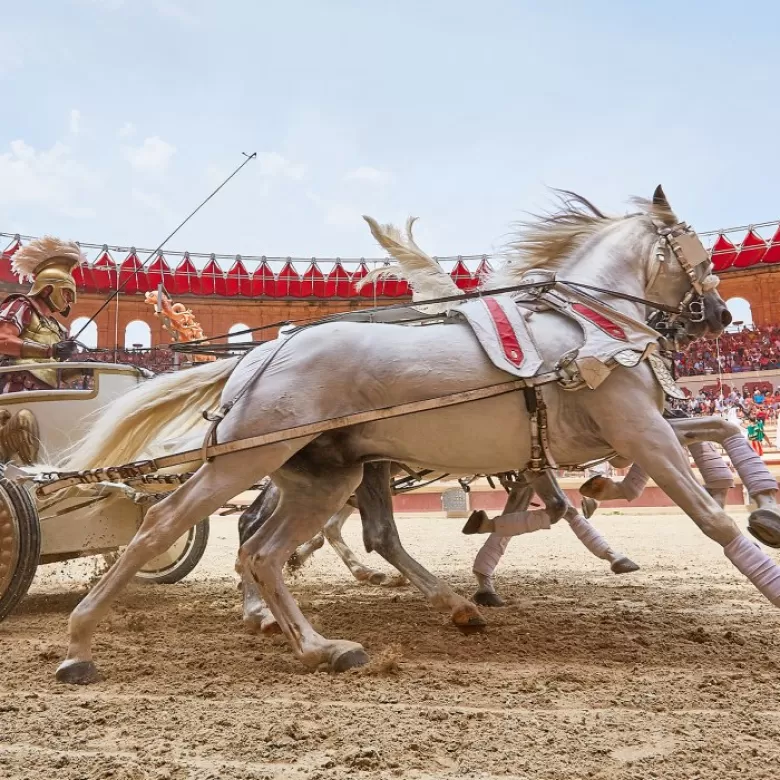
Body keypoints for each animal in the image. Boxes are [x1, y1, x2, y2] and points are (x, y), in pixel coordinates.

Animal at [56, 184, 780, 684]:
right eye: (700, 252)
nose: (718, 315)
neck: (586, 326)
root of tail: (260, 355)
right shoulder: (637, 430)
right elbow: (708, 512)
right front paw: (766, 569)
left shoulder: (603, 440)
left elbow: (716, 434)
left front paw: (762, 505)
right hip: (246, 462)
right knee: (168, 526)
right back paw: (81, 642)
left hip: (325, 475)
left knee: (266, 549)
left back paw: (325, 644)